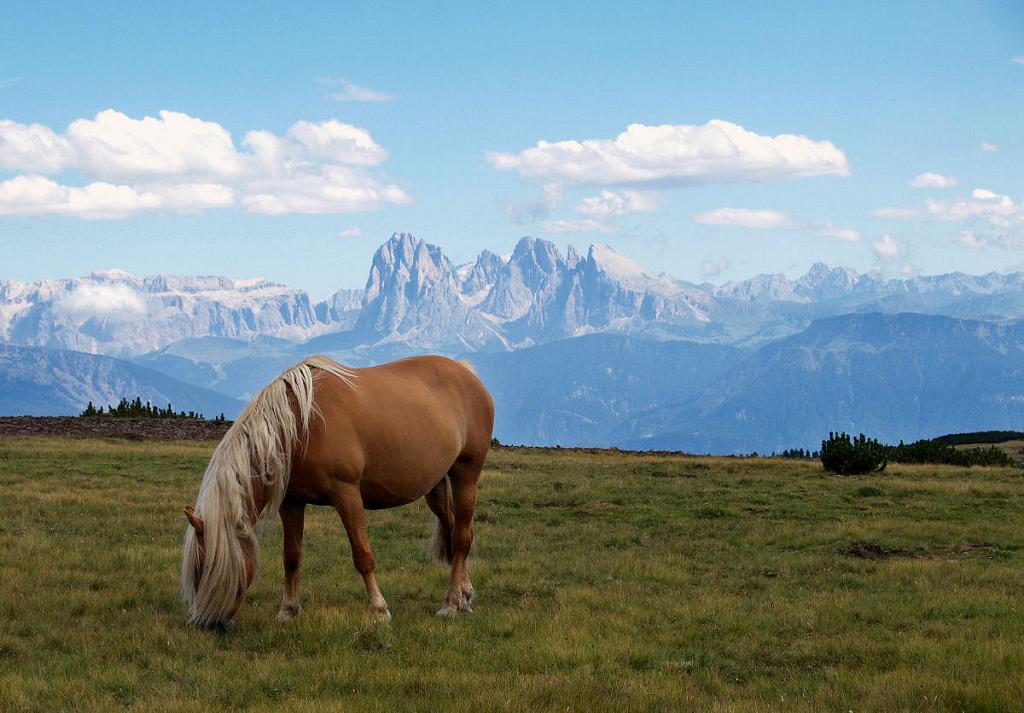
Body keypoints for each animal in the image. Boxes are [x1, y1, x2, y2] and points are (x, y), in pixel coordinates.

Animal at [179, 354, 494, 628]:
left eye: (205, 568)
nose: (205, 623)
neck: (300, 426)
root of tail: (467, 373)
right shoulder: (291, 502)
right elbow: (291, 557)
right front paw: (288, 611)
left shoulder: (347, 496)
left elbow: (363, 556)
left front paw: (379, 611)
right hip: (437, 488)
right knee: (455, 533)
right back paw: (464, 596)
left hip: (466, 475)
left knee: (462, 538)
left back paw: (451, 603)